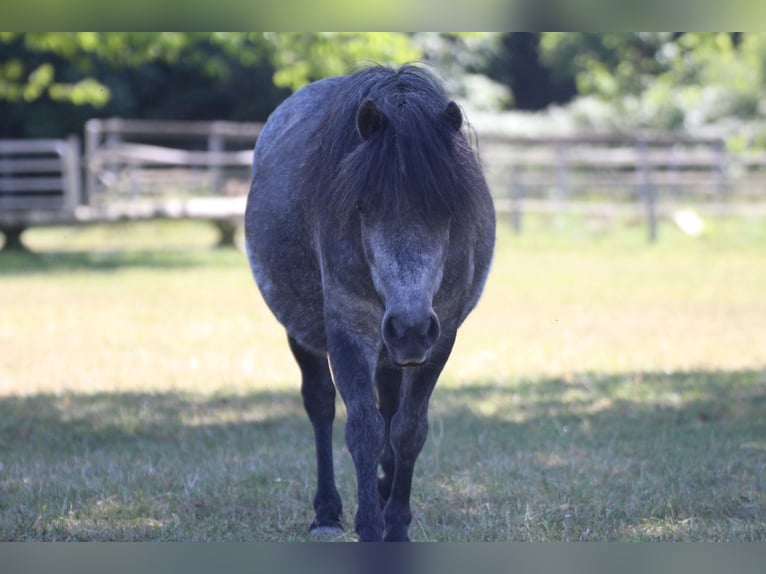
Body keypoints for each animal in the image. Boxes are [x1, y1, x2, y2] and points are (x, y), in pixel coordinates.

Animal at [246, 65, 498, 544]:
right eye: (362, 207)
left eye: (448, 210)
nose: (410, 328)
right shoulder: (350, 328)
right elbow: (363, 428)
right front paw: (368, 526)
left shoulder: (442, 335)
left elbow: (408, 428)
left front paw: (396, 523)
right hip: (306, 331)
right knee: (321, 405)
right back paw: (327, 512)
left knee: (390, 405)